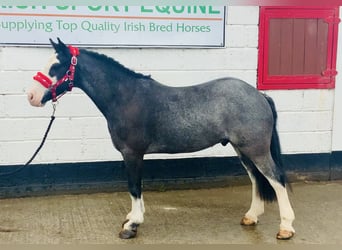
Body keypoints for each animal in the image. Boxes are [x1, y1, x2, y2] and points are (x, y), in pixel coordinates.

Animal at [26, 38, 296, 240]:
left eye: (56, 67)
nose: (31, 96)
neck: (124, 97)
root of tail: (259, 95)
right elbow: (136, 188)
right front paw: (132, 219)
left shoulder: (132, 153)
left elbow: (134, 187)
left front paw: (132, 225)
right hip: (243, 149)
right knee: (257, 179)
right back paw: (251, 216)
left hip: (256, 149)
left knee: (276, 179)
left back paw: (286, 227)